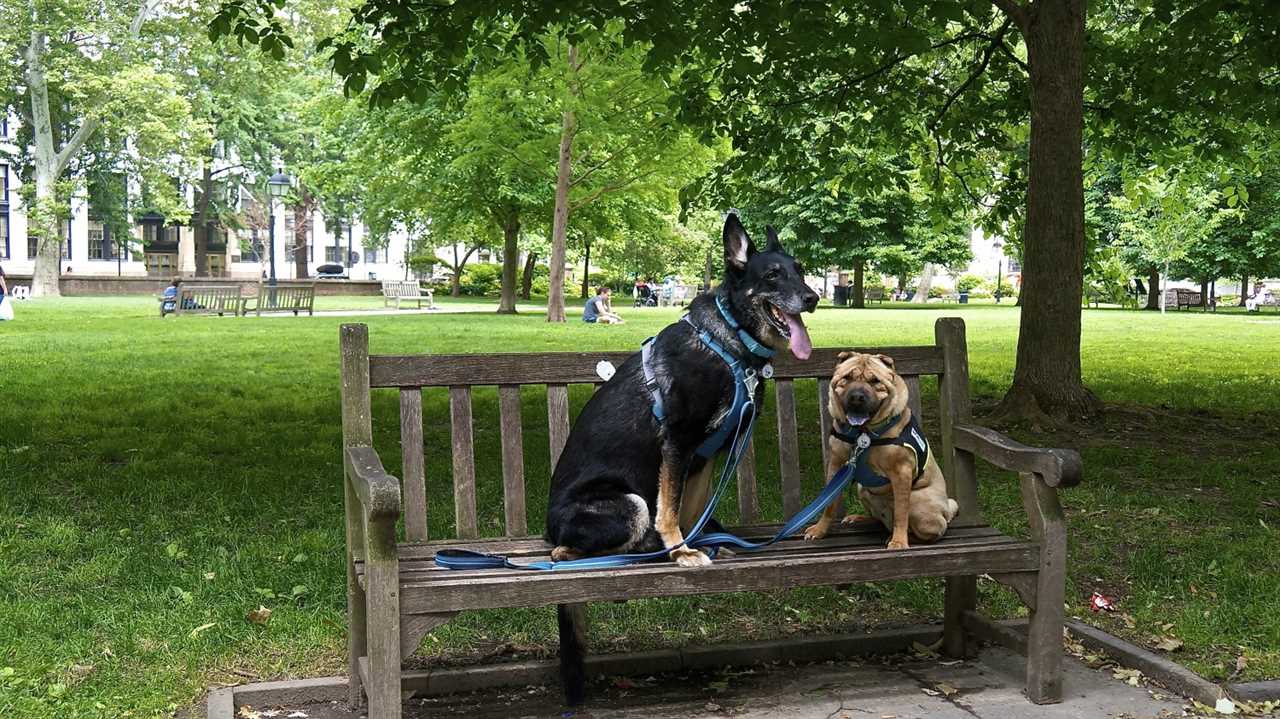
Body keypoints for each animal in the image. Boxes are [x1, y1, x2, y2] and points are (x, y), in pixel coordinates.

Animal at [545, 211, 814, 701]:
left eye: (800, 270)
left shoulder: (704, 457)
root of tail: (545, 526)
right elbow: (668, 509)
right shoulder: (678, 442)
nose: (814, 297)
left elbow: (690, 507)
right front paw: (680, 550)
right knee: (575, 546)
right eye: (772, 275)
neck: (730, 341)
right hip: (628, 504)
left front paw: (700, 540)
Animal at [803, 350, 957, 545]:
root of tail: (947, 511)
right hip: (863, 489)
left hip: (920, 505)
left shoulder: (901, 472)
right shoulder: (836, 465)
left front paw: (899, 542)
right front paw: (820, 530)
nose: (857, 396)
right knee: (878, 519)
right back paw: (858, 519)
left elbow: (901, 512)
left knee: (928, 530)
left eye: (875, 381)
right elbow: (829, 503)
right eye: (847, 377)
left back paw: (898, 536)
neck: (863, 433)